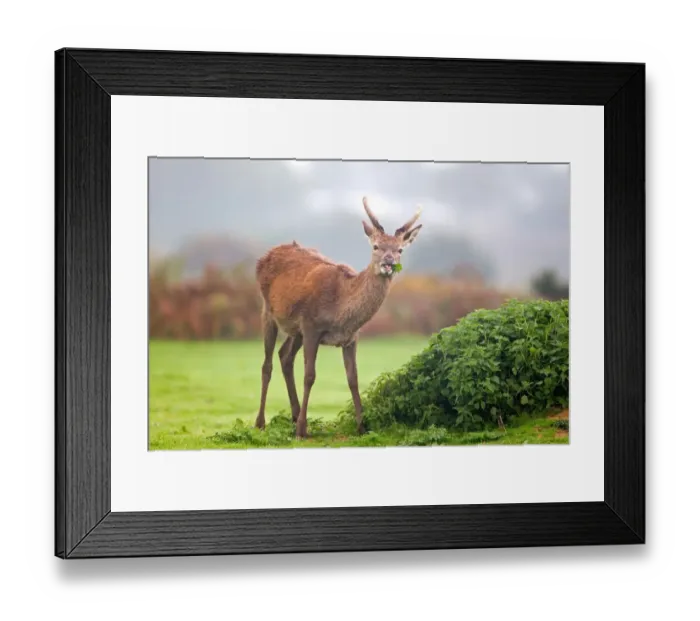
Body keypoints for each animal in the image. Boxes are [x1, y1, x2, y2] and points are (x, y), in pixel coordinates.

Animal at [254, 196, 423, 439]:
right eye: (376, 246)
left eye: (400, 249)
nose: (389, 263)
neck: (340, 310)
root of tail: (265, 255)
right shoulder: (312, 327)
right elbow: (310, 375)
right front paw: (302, 430)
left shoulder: (350, 337)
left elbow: (353, 378)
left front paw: (362, 427)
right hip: (268, 310)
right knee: (267, 365)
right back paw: (260, 423)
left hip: (296, 330)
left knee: (284, 356)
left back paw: (294, 415)